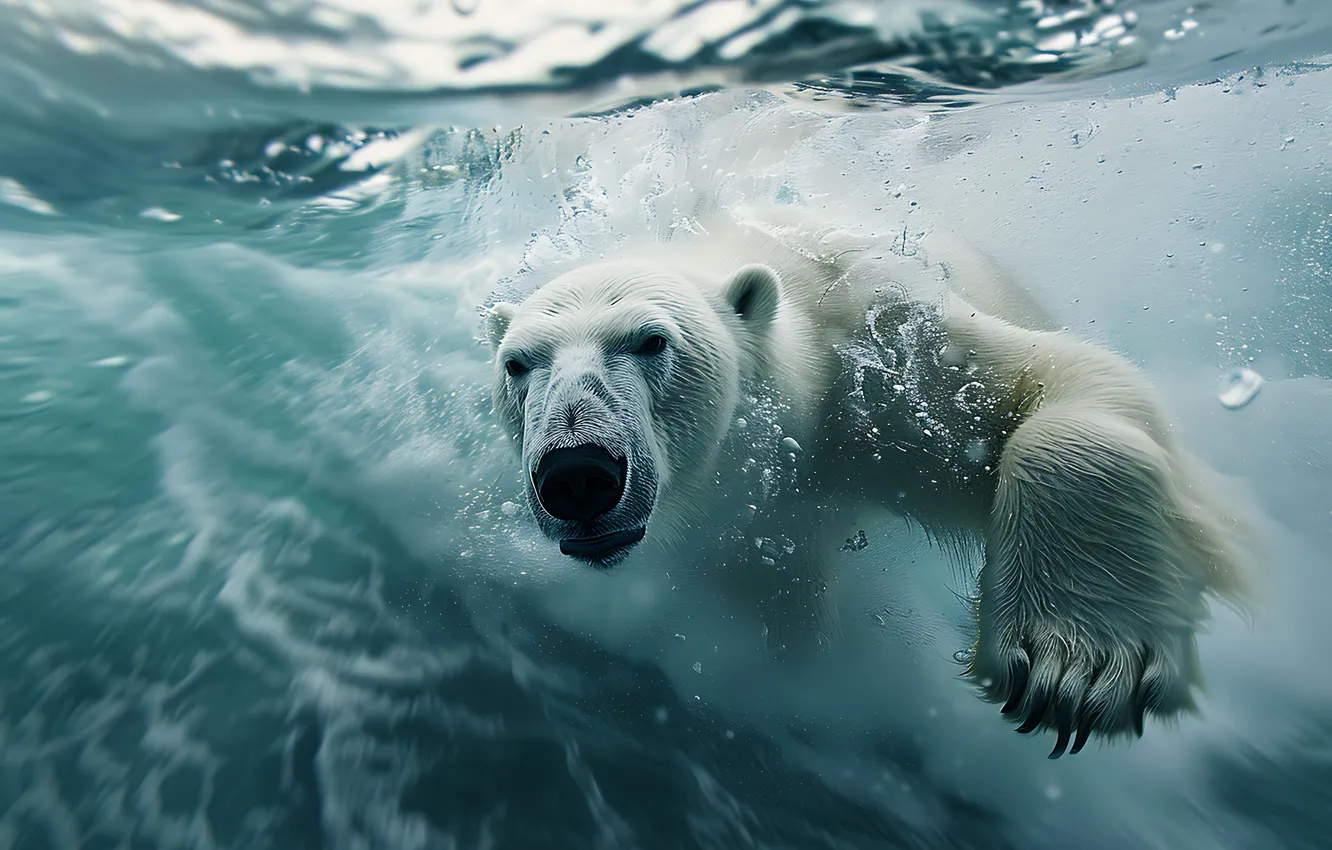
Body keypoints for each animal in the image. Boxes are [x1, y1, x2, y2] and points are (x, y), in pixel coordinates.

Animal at [483, 204, 1256, 759]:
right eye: (518, 362)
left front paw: (1074, 665)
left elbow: (1058, 381)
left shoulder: (886, 362)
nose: (577, 474)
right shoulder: (756, 536)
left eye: (650, 340)